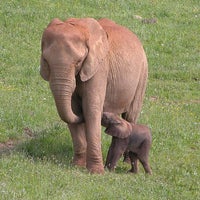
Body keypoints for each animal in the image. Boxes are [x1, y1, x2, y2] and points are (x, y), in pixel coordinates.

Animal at [39, 17, 148, 173]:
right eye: (45, 61)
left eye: (78, 62)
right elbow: (72, 109)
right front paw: (77, 165)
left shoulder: (99, 68)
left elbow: (91, 109)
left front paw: (96, 172)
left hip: (143, 74)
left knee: (131, 115)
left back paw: (127, 162)